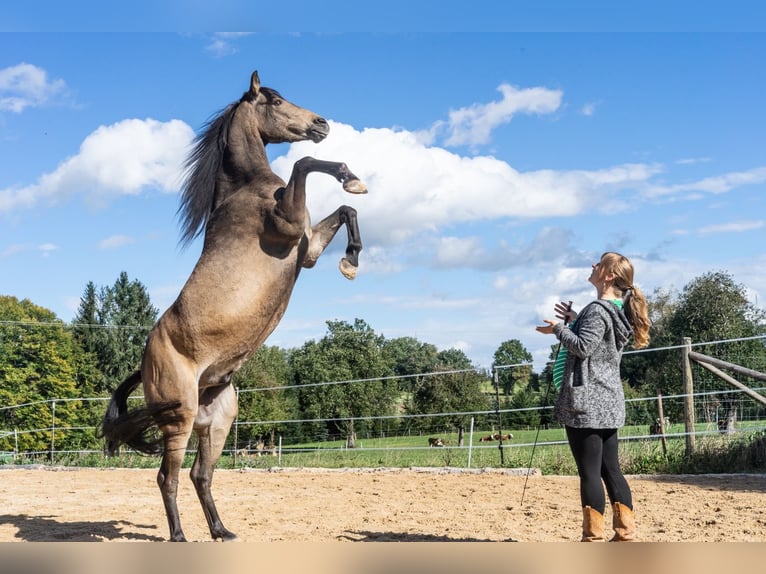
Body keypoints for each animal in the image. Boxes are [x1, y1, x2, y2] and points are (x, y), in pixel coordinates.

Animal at [100, 70, 366, 542]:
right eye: (275, 100)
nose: (321, 124)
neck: (246, 189)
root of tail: (146, 360)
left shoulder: (307, 247)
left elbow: (346, 209)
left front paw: (351, 258)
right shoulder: (288, 225)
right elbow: (304, 164)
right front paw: (349, 176)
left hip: (218, 422)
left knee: (200, 476)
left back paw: (222, 530)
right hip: (179, 419)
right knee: (167, 478)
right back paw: (179, 535)